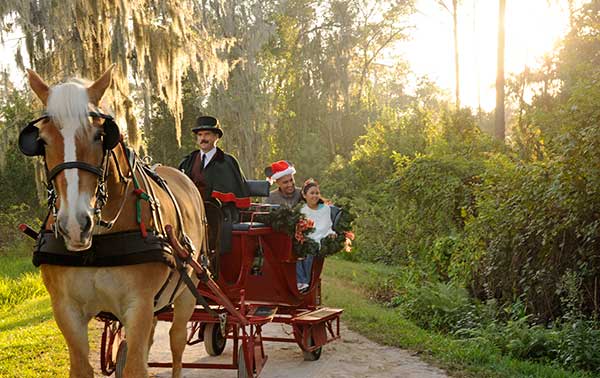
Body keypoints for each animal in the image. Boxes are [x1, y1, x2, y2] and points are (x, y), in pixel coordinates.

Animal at [19, 65, 207, 378]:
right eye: (41, 141)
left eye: (100, 135)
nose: (75, 225)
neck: (98, 244)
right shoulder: (66, 309)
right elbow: (83, 368)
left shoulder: (139, 305)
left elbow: (135, 368)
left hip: (187, 293)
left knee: (177, 343)